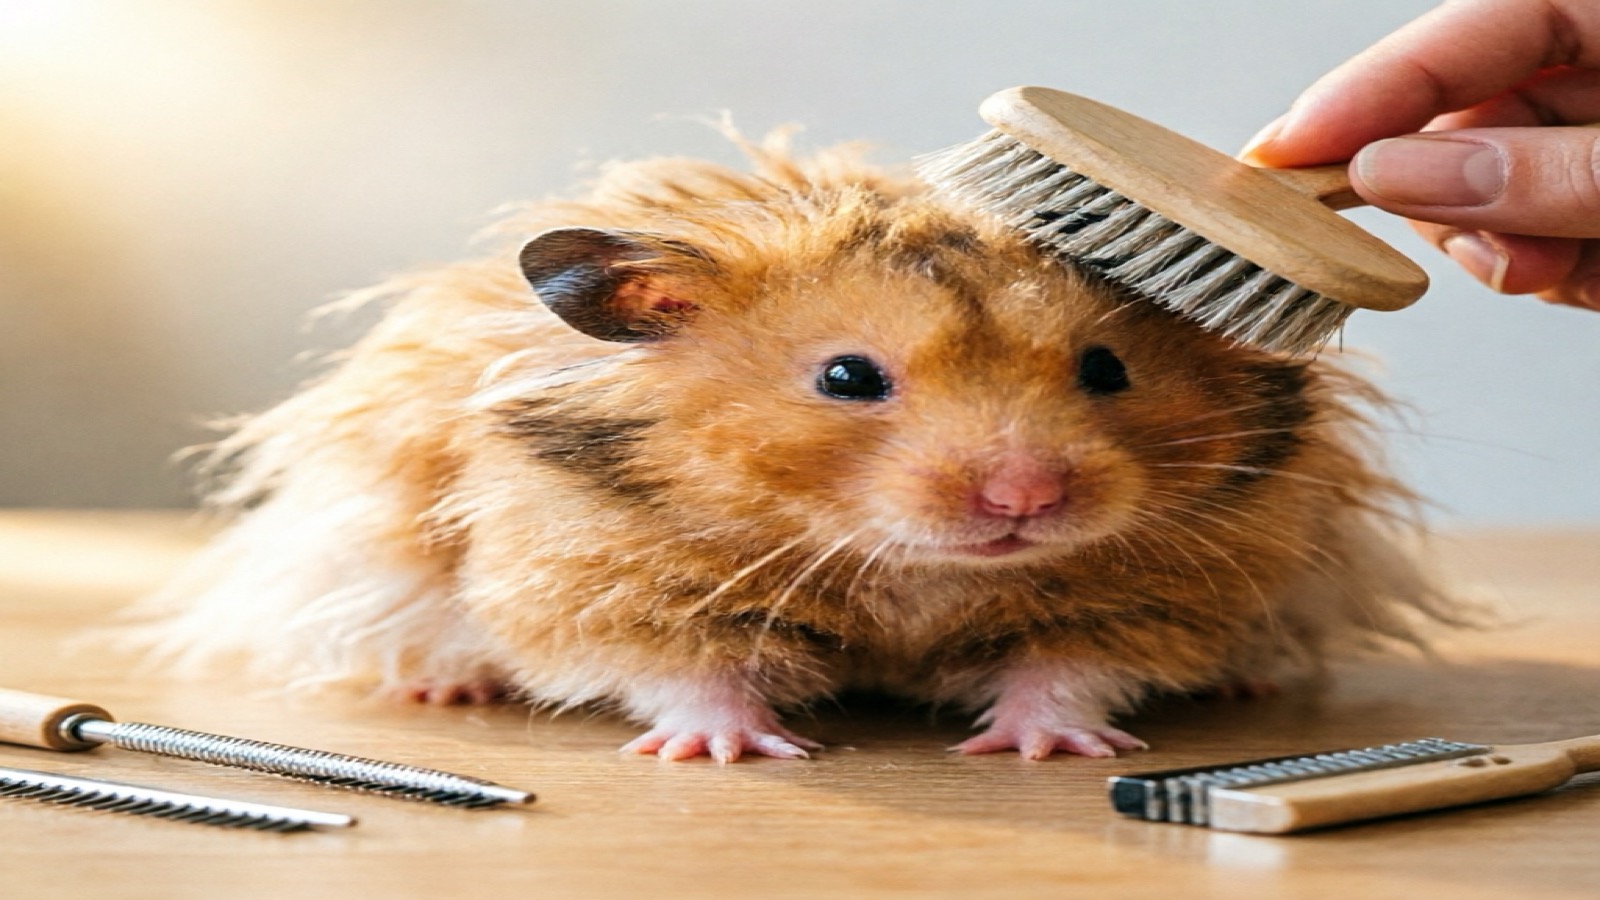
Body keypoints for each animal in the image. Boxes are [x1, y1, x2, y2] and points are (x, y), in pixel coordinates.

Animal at [147, 133, 1461, 762]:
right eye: (845, 379)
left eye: (1105, 370)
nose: (1024, 498)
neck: (910, 572)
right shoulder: (598, 579)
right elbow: (680, 670)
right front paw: (732, 754)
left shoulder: (1155, 588)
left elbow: (1067, 664)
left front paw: (1041, 748)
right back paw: (443, 680)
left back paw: (1245, 675)